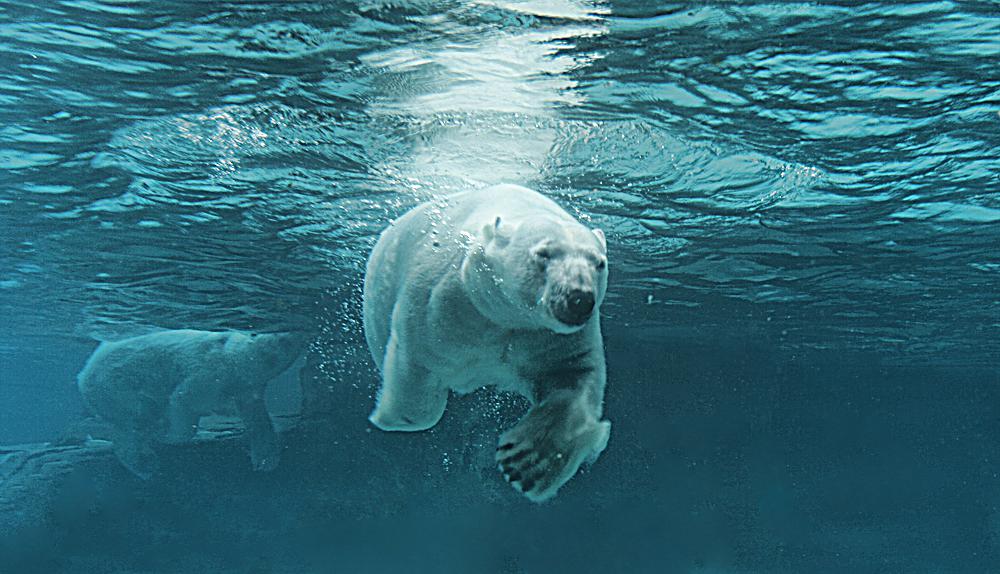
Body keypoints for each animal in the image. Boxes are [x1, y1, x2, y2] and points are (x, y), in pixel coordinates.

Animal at [76, 330, 302, 480]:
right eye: (279, 337)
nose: (294, 335)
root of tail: (83, 374)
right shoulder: (210, 371)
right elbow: (183, 399)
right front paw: (171, 435)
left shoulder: (247, 388)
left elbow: (258, 418)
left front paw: (266, 459)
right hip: (116, 384)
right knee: (133, 420)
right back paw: (145, 463)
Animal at [364, 186, 612, 504]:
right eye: (543, 253)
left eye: (599, 263)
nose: (578, 298)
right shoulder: (446, 303)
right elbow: (420, 361)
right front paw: (392, 417)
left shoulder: (550, 335)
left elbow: (574, 375)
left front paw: (527, 463)